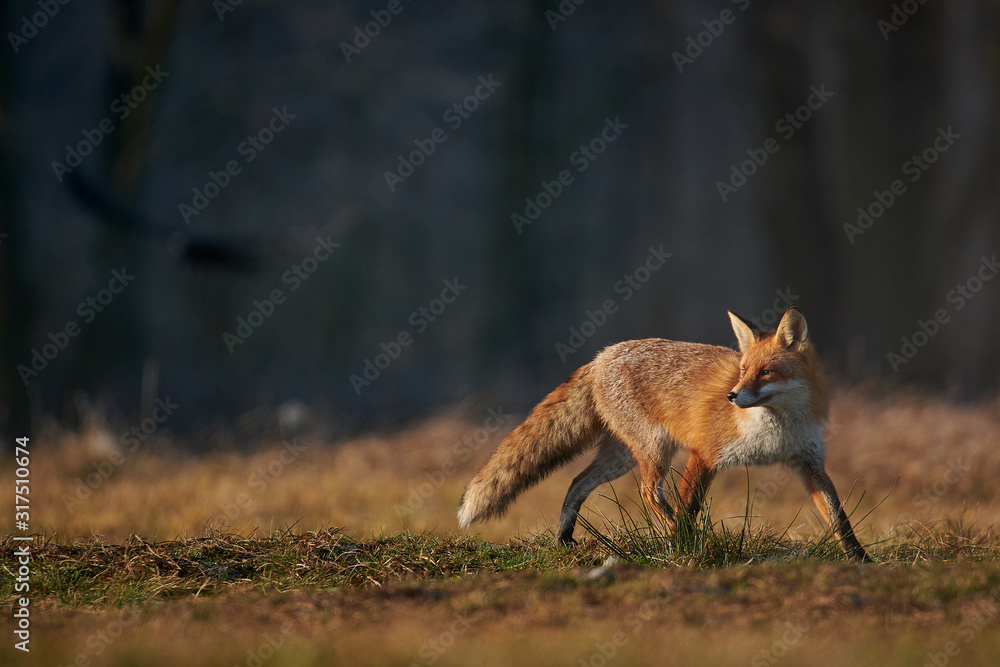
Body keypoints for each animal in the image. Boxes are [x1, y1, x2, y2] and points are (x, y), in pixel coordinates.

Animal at [458, 307, 870, 562]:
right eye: (742, 369)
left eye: (766, 372)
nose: (732, 395)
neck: (775, 431)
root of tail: (601, 356)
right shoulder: (705, 454)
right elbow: (689, 507)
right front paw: (687, 547)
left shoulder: (809, 463)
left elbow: (839, 518)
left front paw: (860, 559)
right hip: (655, 451)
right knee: (648, 493)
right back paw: (672, 534)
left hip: (622, 456)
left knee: (577, 481)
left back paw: (564, 536)